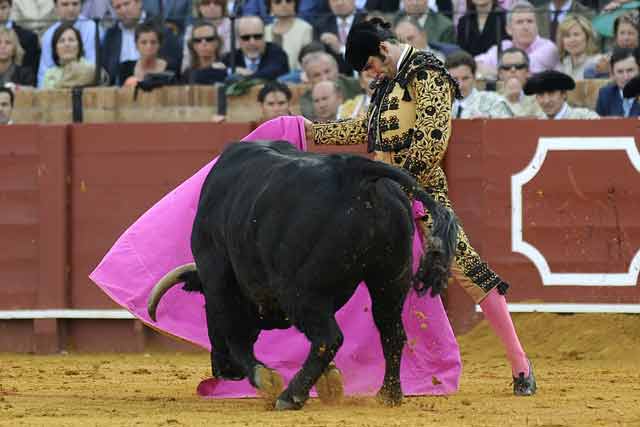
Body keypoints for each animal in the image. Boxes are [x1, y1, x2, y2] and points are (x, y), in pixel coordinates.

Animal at [148, 141, 458, 412]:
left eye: (205, 309)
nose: (223, 371)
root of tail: (356, 172)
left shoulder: (219, 280)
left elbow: (236, 336)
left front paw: (266, 379)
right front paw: (330, 380)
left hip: (301, 291)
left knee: (328, 337)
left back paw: (290, 395)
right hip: (390, 279)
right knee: (390, 332)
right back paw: (388, 395)